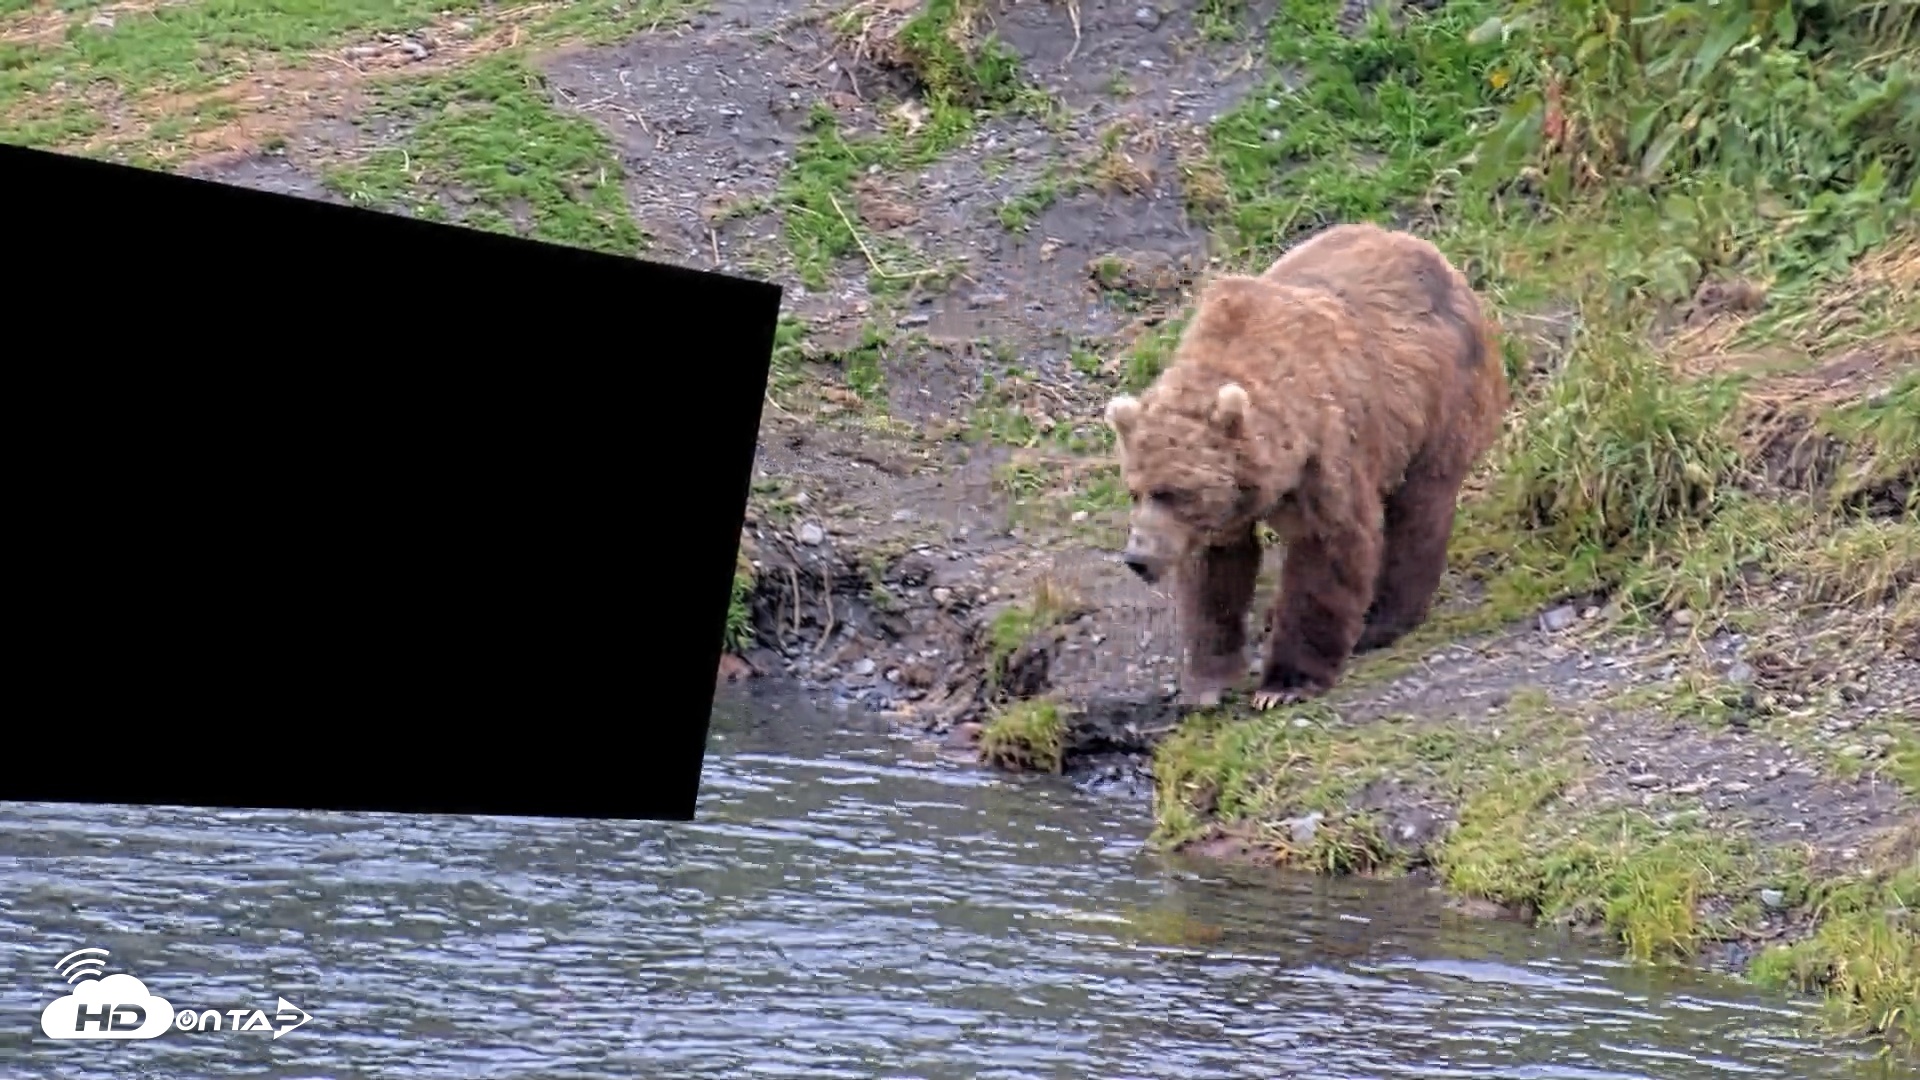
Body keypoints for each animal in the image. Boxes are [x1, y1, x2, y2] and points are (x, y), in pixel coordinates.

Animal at [1102, 221, 1509, 709]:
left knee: (1420, 508)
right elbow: (1215, 575)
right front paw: (1207, 680)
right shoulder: (1221, 514)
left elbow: (1327, 550)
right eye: (1136, 490)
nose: (1138, 558)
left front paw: (1283, 684)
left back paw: (1384, 620)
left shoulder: (1326, 450)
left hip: (1439, 403)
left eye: (1173, 492)